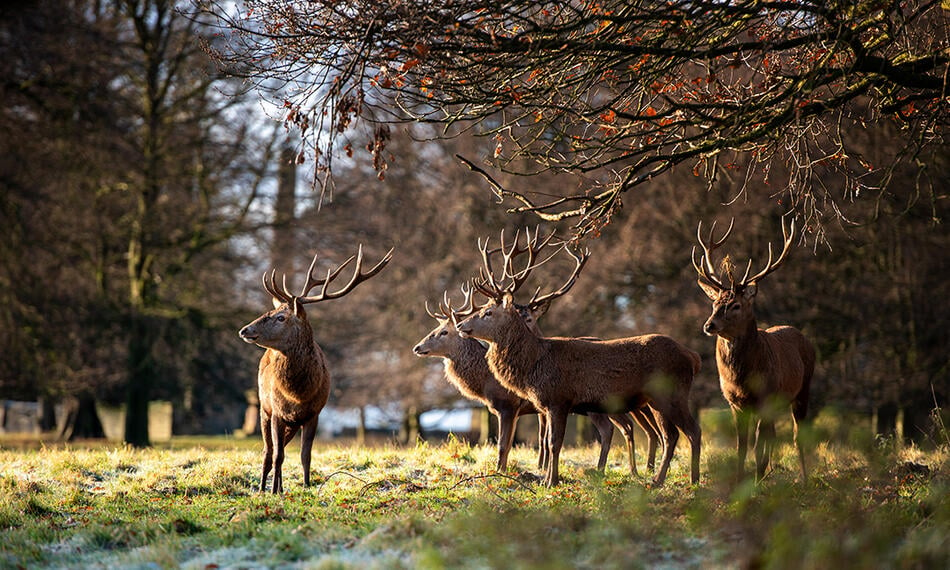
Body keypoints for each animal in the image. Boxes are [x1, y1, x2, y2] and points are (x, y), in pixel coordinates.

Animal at [240, 243, 392, 488]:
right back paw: (264, 488)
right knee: (268, 452)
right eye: (269, 312)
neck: (298, 394)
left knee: (278, 450)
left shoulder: (314, 413)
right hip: (264, 407)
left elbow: (305, 455)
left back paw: (280, 487)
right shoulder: (277, 412)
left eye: (281, 317)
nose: (244, 330)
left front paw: (306, 486)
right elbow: (277, 455)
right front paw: (271, 491)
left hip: (290, 422)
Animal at [458, 231, 704, 484]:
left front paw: (551, 481)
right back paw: (661, 480)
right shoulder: (548, 405)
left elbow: (554, 443)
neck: (533, 364)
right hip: (655, 400)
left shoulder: (558, 399)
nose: (460, 325)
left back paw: (690, 480)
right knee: (671, 435)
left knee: (692, 431)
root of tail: (692, 357)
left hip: (672, 393)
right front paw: (547, 479)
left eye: (488, 312)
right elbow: (549, 442)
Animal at [692, 217, 820, 480]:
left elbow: (757, 444)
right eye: (714, 303)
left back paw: (803, 478)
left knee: (796, 435)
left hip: (803, 388)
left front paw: (754, 481)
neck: (741, 379)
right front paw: (741, 481)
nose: (709, 325)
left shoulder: (765, 398)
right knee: (773, 434)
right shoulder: (735, 403)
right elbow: (742, 446)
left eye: (736, 305)